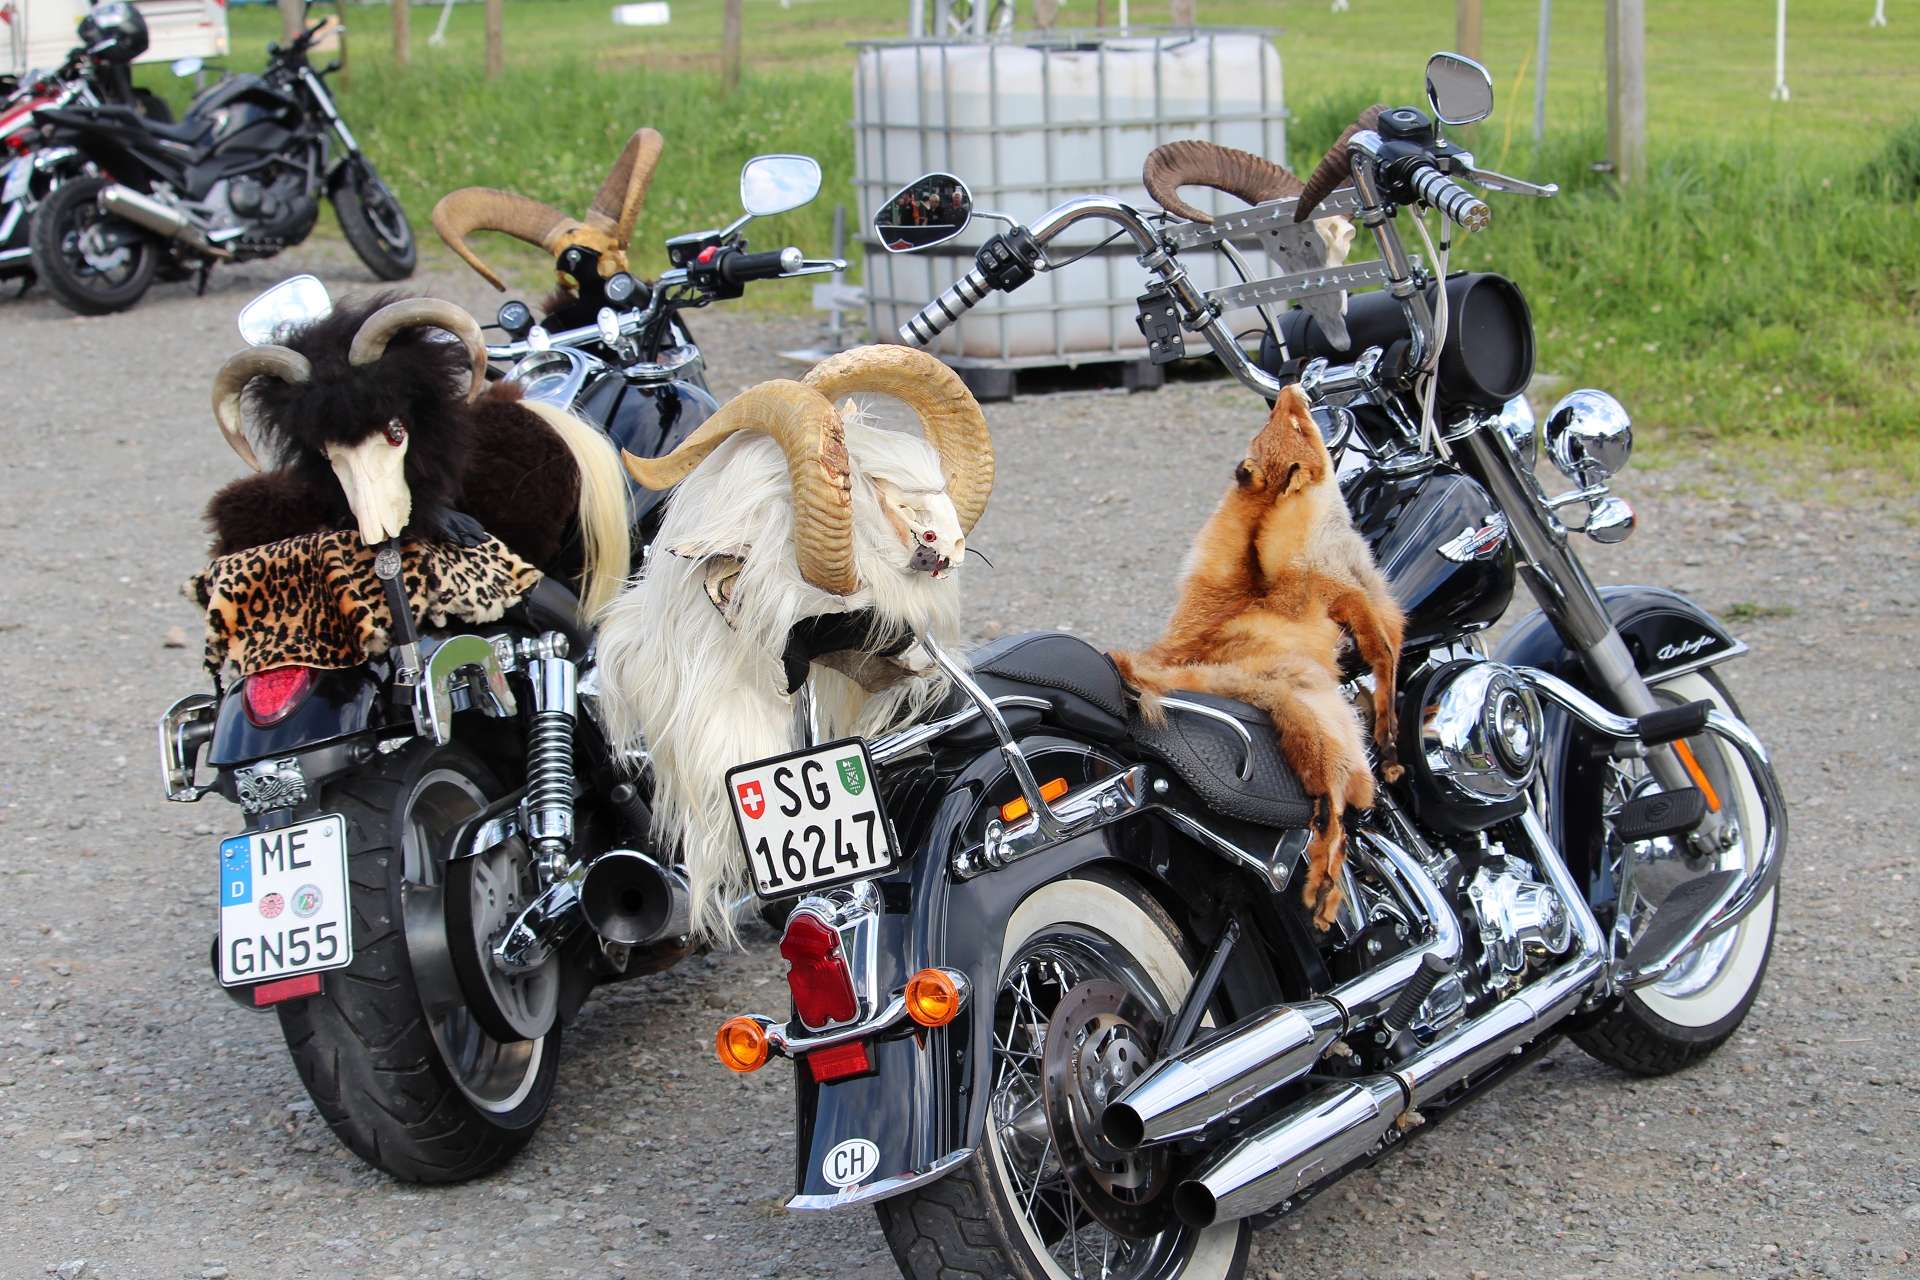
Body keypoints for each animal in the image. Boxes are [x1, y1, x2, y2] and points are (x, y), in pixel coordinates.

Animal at [1111, 385, 1404, 931]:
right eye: (1295, 424)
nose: (1289, 387)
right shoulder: (1344, 594)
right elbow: (1385, 659)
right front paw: (1393, 734)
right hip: (1334, 740)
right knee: (1329, 813)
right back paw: (1324, 892)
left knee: (1333, 807)